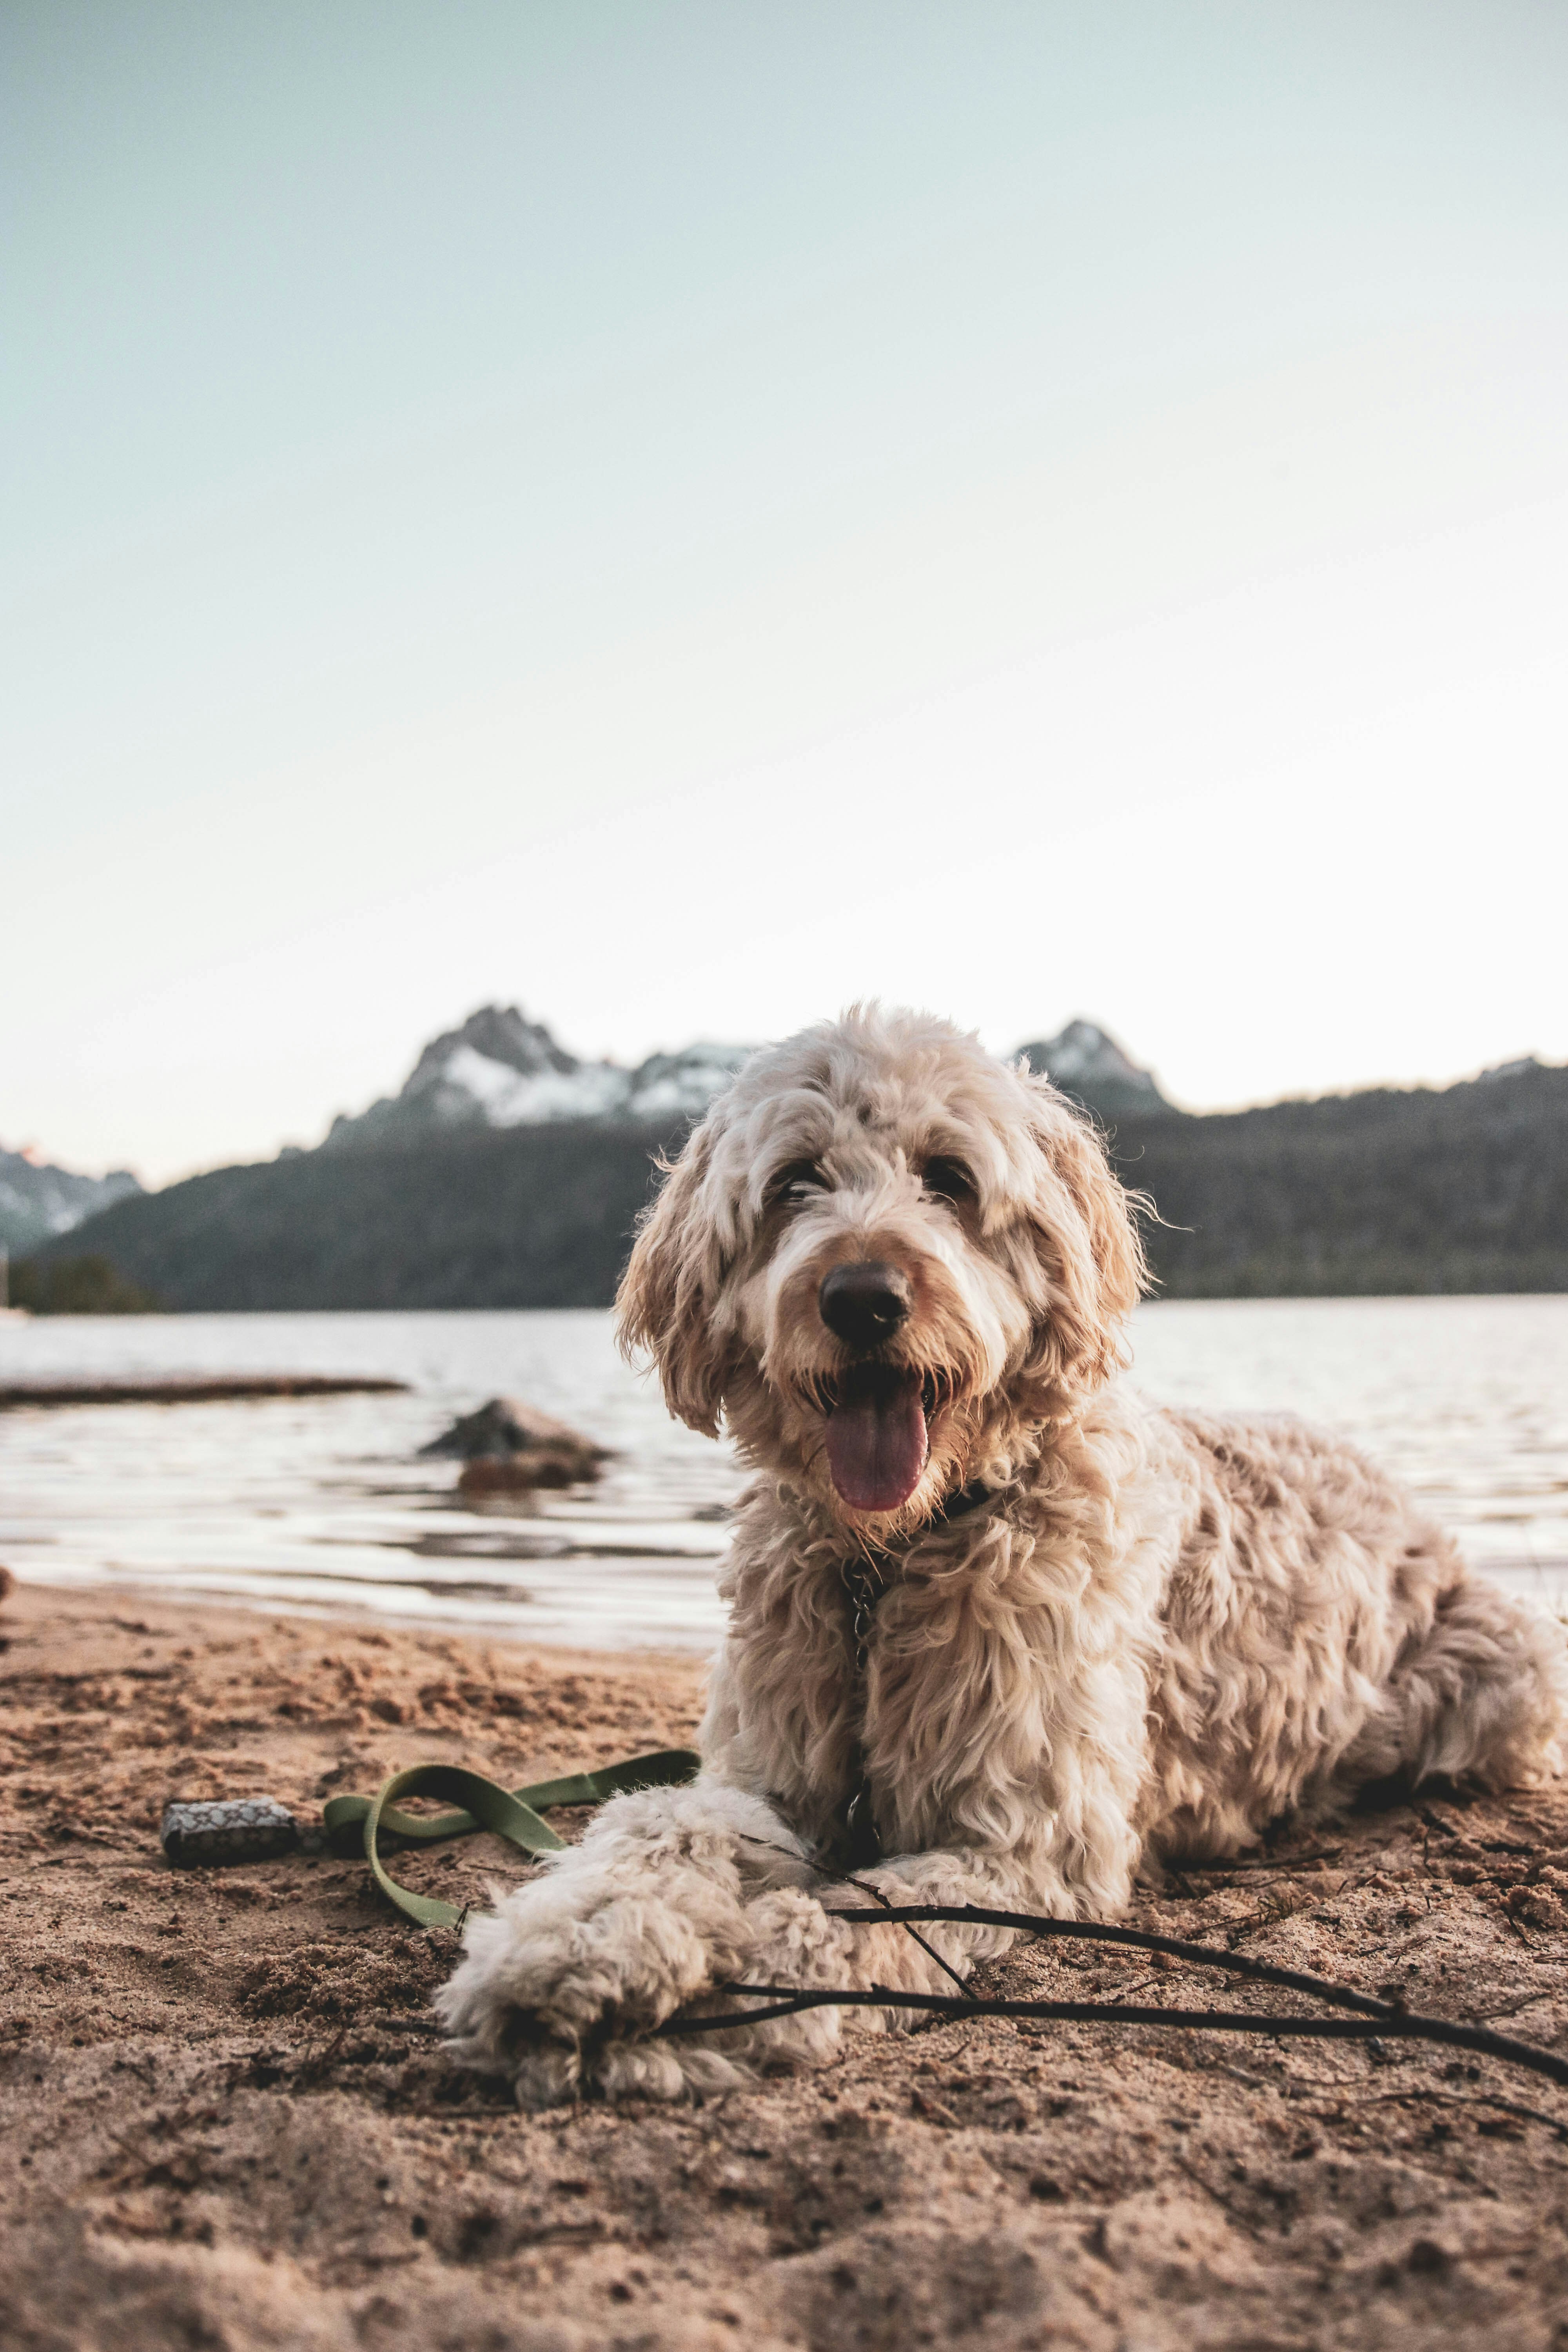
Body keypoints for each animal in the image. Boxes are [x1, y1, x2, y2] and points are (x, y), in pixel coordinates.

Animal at [435, 1002, 1561, 2107]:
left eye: (949, 1176)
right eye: (795, 1181)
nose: (861, 1297)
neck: (889, 1563)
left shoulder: (1026, 1841)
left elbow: (853, 1915)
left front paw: (722, 1994)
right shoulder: (767, 1776)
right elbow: (660, 1826)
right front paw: (574, 1945)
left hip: (1510, 1672)